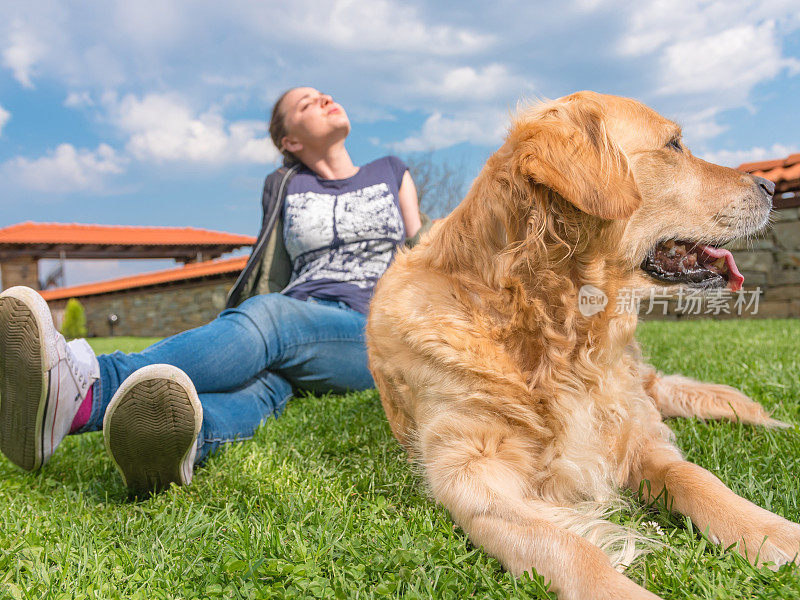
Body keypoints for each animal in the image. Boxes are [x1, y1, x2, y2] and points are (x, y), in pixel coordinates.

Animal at [366, 90, 796, 600]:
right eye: (674, 145)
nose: (770, 185)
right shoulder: (470, 471)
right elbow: (571, 547)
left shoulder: (635, 435)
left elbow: (693, 476)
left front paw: (775, 533)